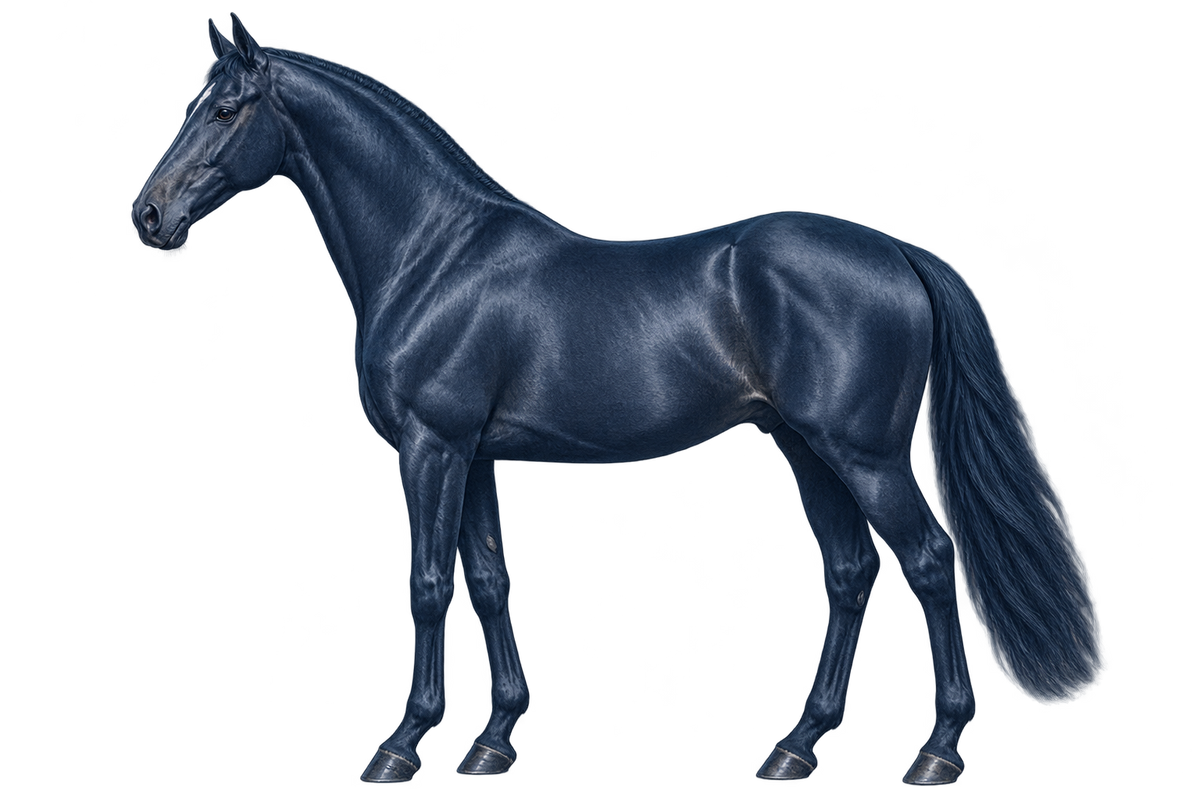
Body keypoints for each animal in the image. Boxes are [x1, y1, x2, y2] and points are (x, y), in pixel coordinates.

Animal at [131, 12, 1108, 789]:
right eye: (187, 103)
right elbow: (489, 583)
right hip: (808, 449)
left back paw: (936, 753)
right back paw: (794, 750)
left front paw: (400, 748)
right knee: (848, 574)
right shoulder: (477, 454)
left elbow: (430, 585)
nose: (147, 215)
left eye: (226, 108)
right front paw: (493, 740)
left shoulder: (431, 445)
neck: (434, 255)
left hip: (864, 456)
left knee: (931, 568)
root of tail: (893, 251)